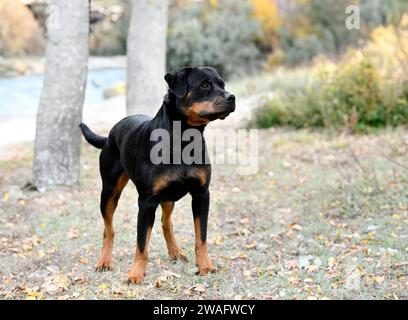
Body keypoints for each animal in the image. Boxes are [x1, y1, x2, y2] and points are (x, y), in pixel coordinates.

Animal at [79, 66, 236, 284]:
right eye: (205, 85)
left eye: (222, 84)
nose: (232, 97)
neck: (182, 140)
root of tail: (111, 133)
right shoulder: (147, 202)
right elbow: (141, 244)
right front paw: (135, 274)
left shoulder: (201, 194)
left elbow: (201, 237)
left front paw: (205, 266)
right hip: (109, 191)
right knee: (108, 229)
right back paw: (104, 261)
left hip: (168, 196)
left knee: (166, 222)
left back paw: (175, 251)